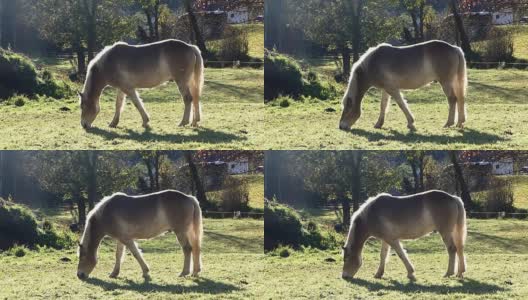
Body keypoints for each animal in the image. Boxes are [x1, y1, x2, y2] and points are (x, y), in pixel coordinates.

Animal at [338, 39, 466, 131]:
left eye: (347, 108)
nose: (341, 126)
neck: (372, 64)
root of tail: (454, 48)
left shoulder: (392, 89)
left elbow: (401, 104)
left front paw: (411, 123)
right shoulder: (385, 89)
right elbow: (383, 105)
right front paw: (379, 124)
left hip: (446, 82)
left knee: (452, 99)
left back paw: (449, 123)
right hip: (454, 82)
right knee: (460, 99)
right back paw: (460, 122)